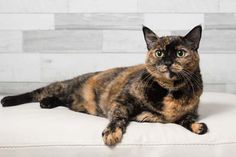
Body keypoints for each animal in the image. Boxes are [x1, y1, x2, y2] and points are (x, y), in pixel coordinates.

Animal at [0, 24, 206, 146]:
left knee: (59, 99)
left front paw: (198, 126)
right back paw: (9, 100)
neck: (170, 90)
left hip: (68, 98)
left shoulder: (184, 113)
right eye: (159, 53)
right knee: (37, 92)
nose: (168, 62)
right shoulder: (121, 101)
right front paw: (112, 133)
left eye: (180, 53)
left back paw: (47, 103)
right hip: (61, 86)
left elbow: (186, 120)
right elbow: (118, 117)